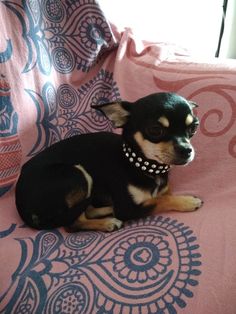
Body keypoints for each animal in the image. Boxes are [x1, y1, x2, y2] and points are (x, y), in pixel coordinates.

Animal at [15, 92, 203, 232]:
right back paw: (107, 222)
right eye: (155, 130)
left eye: (193, 128)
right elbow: (161, 201)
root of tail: (20, 201)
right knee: (72, 223)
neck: (140, 164)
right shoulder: (128, 209)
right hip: (78, 173)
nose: (187, 150)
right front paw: (187, 201)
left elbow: (164, 194)